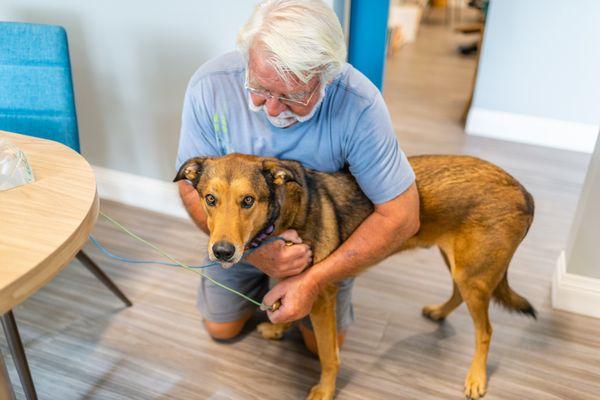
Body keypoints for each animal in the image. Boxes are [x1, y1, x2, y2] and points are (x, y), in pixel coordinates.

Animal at [172, 154, 536, 400]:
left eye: (247, 201)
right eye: (210, 199)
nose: (222, 252)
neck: (284, 209)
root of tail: (524, 193)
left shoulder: (319, 296)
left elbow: (328, 355)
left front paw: (324, 390)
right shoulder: (290, 275)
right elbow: (285, 303)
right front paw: (278, 326)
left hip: (473, 274)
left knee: (485, 331)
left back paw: (476, 377)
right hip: (458, 263)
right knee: (458, 295)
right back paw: (438, 312)